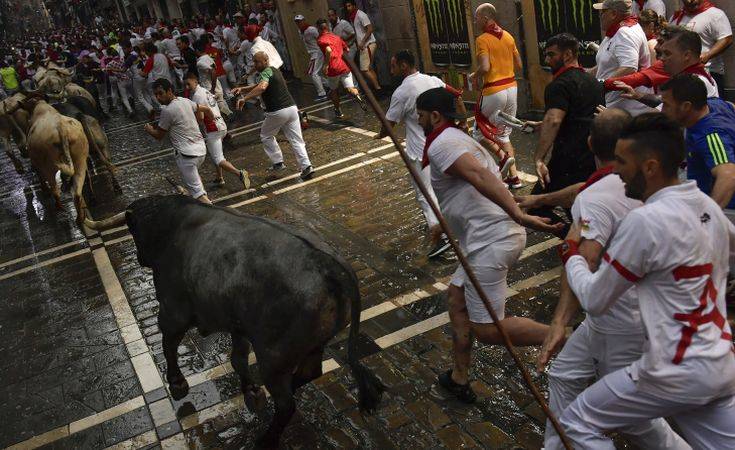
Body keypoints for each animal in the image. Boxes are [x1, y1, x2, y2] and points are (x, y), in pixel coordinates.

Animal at [87, 195, 386, 448]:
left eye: (133, 229)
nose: (139, 257)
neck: (171, 225)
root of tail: (331, 265)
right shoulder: (239, 325)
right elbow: (238, 359)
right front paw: (250, 390)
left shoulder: (172, 312)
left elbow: (169, 344)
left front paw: (177, 383)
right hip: (311, 346)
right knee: (309, 373)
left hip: (273, 357)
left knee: (287, 403)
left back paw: (266, 439)